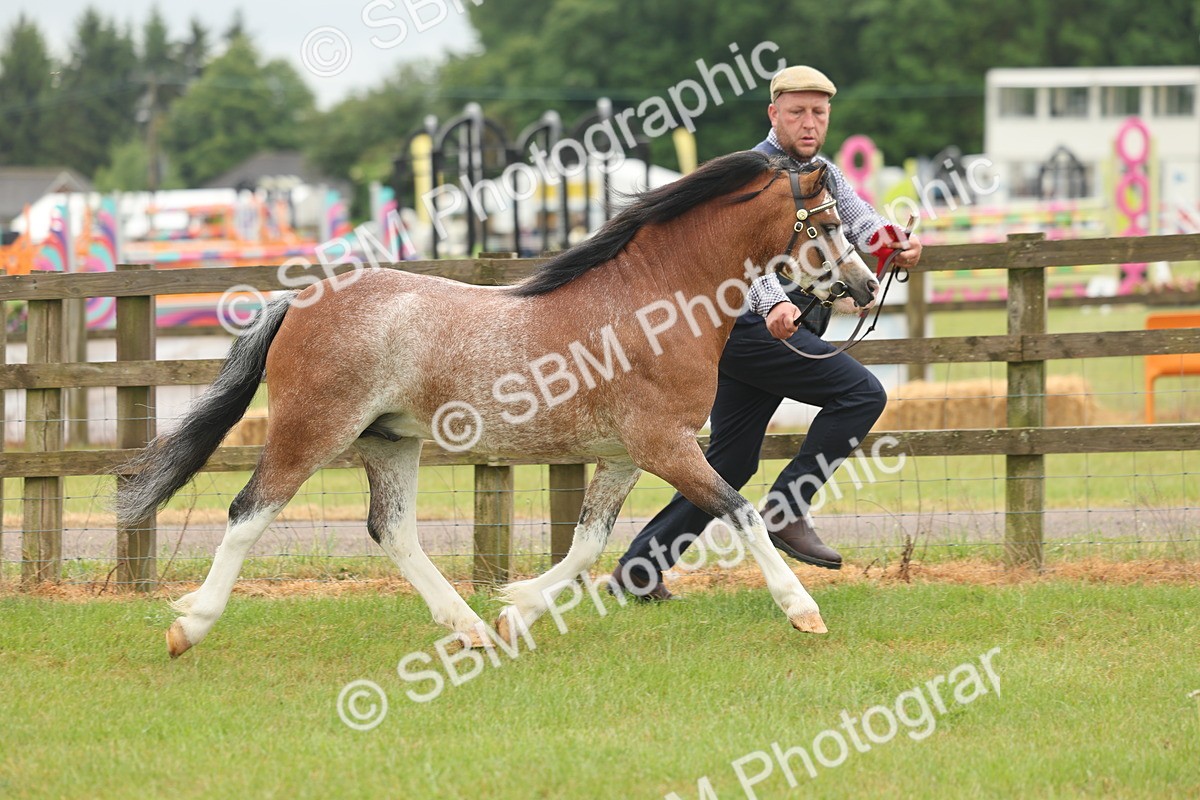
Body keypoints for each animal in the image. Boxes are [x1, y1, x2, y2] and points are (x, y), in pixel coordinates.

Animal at [116, 150, 881, 658]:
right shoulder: (664, 444)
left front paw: (517, 610)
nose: (867, 285)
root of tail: (300, 302)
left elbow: (587, 542)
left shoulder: (625, 456)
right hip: (311, 433)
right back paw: (188, 626)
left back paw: (474, 628)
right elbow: (740, 510)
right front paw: (804, 611)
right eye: (824, 223)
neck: (653, 301)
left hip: (390, 442)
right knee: (248, 513)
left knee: (392, 531)